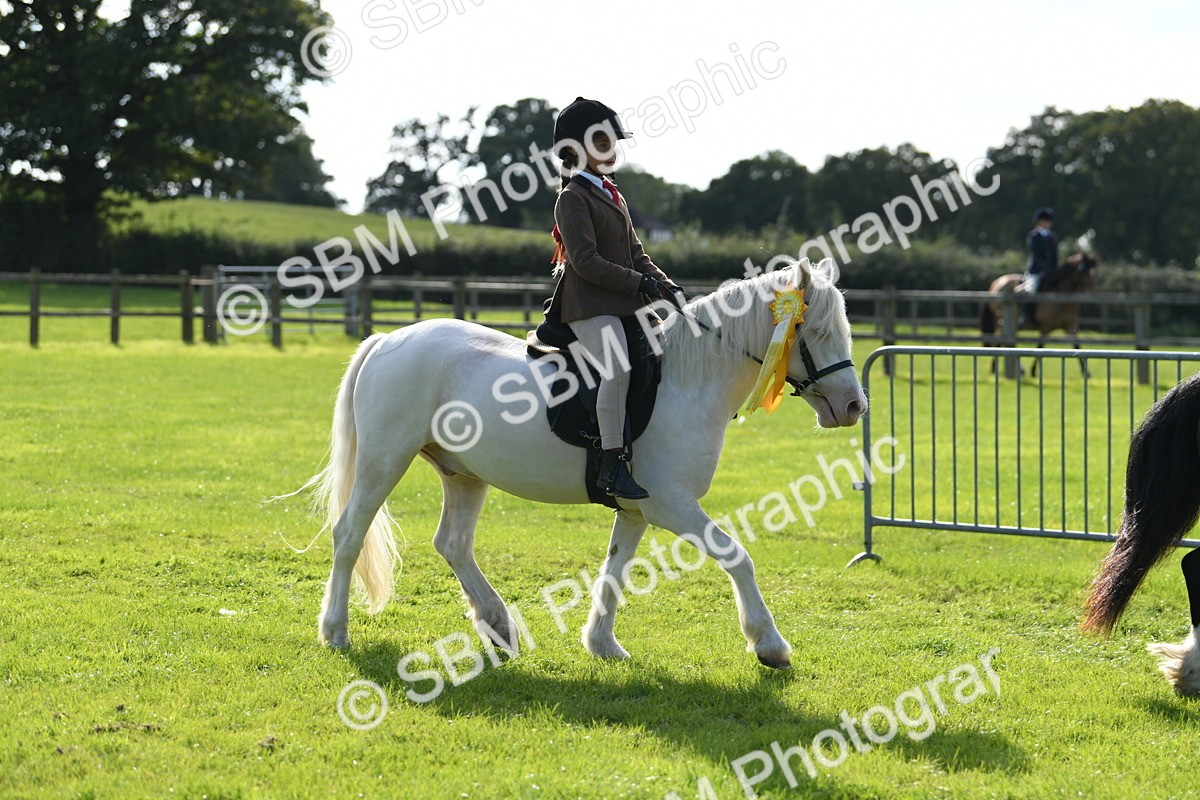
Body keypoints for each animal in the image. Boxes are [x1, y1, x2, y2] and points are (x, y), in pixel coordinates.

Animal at [297, 258, 867, 669]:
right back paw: (335, 631)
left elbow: (615, 569)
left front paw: (602, 644)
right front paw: (769, 645)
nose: (855, 407)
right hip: (383, 461)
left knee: (452, 544)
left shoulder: (637, 509)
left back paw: (498, 625)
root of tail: (386, 340)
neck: (687, 381)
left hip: (464, 474)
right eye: (816, 333)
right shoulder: (672, 504)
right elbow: (737, 556)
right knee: (349, 534)